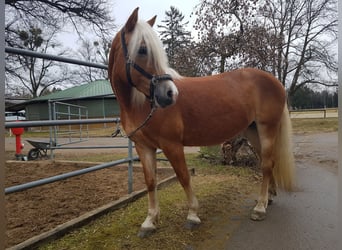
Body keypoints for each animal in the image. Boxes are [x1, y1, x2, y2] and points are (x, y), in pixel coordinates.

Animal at [108, 7, 296, 237]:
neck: (140, 104)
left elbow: (183, 177)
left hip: (267, 128)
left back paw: (260, 208)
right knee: (266, 162)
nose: (170, 94)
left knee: (267, 164)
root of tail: (275, 81)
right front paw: (150, 221)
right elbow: (151, 182)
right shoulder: (143, 147)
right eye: (143, 50)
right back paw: (268, 198)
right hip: (253, 131)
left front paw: (192, 215)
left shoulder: (172, 145)